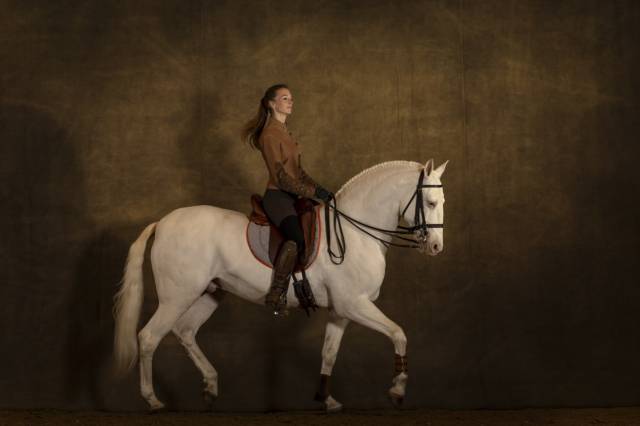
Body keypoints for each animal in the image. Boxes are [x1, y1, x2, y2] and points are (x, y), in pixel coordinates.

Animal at [113, 158, 448, 412]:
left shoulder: (341, 311)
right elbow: (398, 333)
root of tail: (163, 222)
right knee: (148, 338)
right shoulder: (356, 304)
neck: (355, 232)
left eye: (442, 202)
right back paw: (153, 400)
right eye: (430, 202)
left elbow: (329, 353)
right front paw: (398, 390)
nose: (435, 247)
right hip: (177, 297)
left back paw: (210, 385)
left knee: (185, 332)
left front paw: (326, 399)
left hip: (209, 294)